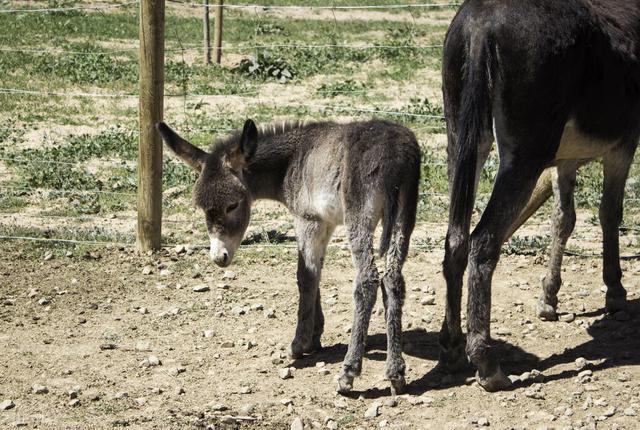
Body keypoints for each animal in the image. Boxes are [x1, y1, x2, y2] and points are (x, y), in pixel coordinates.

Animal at [158, 117, 422, 394]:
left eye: (233, 205)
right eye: (201, 209)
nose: (219, 258)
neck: (291, 161)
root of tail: (393, 155)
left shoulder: (307, 220)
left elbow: (304, 277)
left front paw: (299, 344)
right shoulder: (324, 223)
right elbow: (315, 274)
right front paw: (315, 337)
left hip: (359, 217)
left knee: (368, 280)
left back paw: (349, 371)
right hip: (404, 215)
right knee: (393, 280)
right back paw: (396, 372)